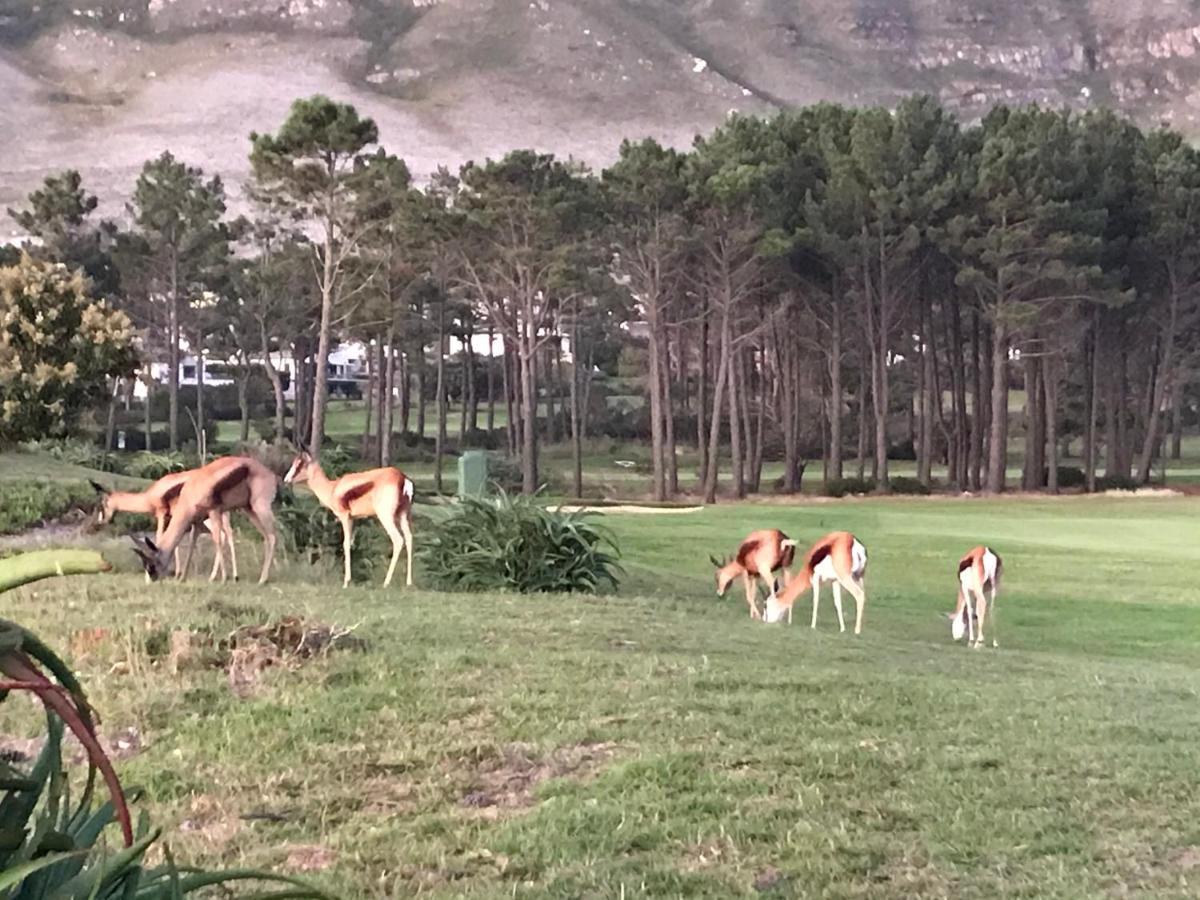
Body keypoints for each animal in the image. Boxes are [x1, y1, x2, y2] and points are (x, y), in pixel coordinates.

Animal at [132, 458, 277, 585]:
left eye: (152, 563)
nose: (153, 578)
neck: (190, 491)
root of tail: (270, 473)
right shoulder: (197, 521)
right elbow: (192, 545)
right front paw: (182, 578)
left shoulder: (214, 511)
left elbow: (217, 540)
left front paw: (223, 579)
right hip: (249, 510)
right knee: (266, 538)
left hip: (260, 507)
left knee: (272, 536)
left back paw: (262, 580)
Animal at [283, 451, 415, 592]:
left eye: (299, 463)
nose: (286, 480)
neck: (333, 488)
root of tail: (401, 478)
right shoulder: (353, 519)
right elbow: (351, 544)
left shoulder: (344, 517)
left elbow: (345, 544)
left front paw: (346, 582)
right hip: (403, 515)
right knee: (409, 538)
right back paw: (409, 583)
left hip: (386, 517)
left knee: (398, 540)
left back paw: (386, 583)